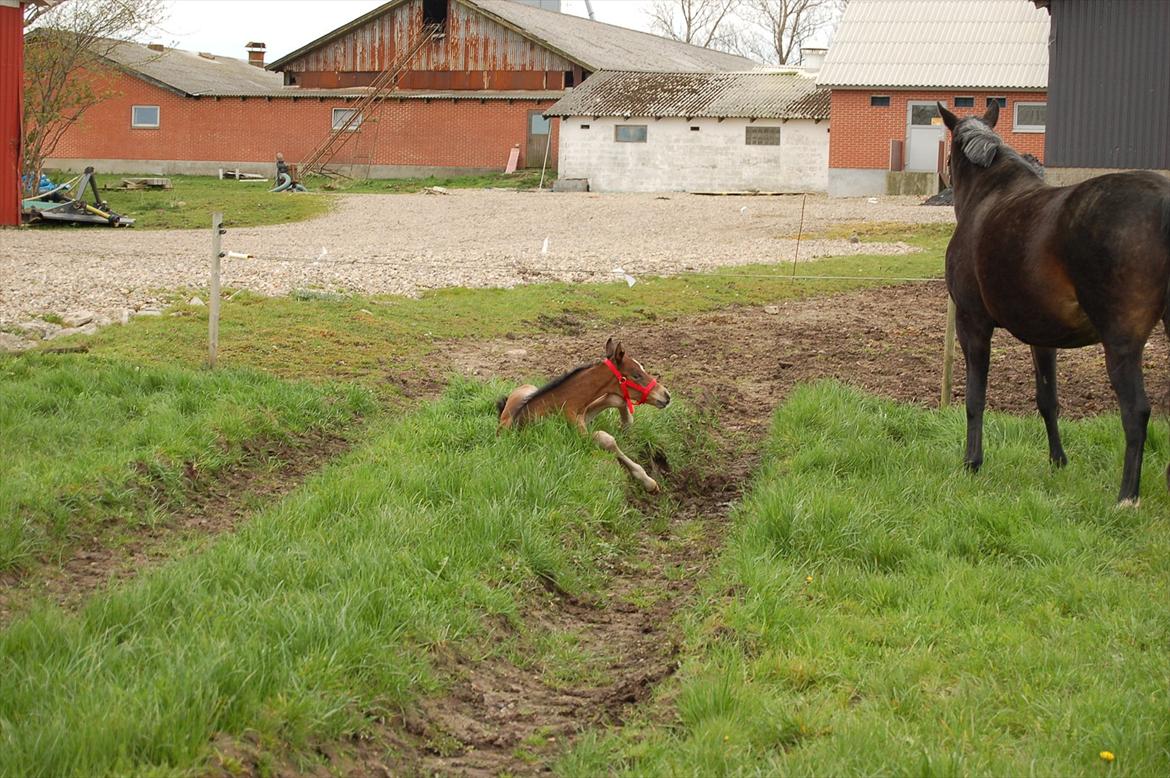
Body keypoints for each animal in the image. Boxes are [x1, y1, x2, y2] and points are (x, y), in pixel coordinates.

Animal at [496, 334, 678, 491]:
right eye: (636, 375)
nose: (666, 395)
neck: (564, 403)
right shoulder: (578, 437)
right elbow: (605, 439)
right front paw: (648, 481)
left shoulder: (584, 412)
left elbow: (616, 399)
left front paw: (626, 423)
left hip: (532, 389)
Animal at [940, 100, 1170, 500]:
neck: (990, 194)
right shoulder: (1042, 337)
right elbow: (1048, 400)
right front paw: (1058, 461)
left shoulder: (972, 324)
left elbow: (974, 398)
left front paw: (972, 461)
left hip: (1121, 342)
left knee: (1136, 412)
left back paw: (1126, 496)